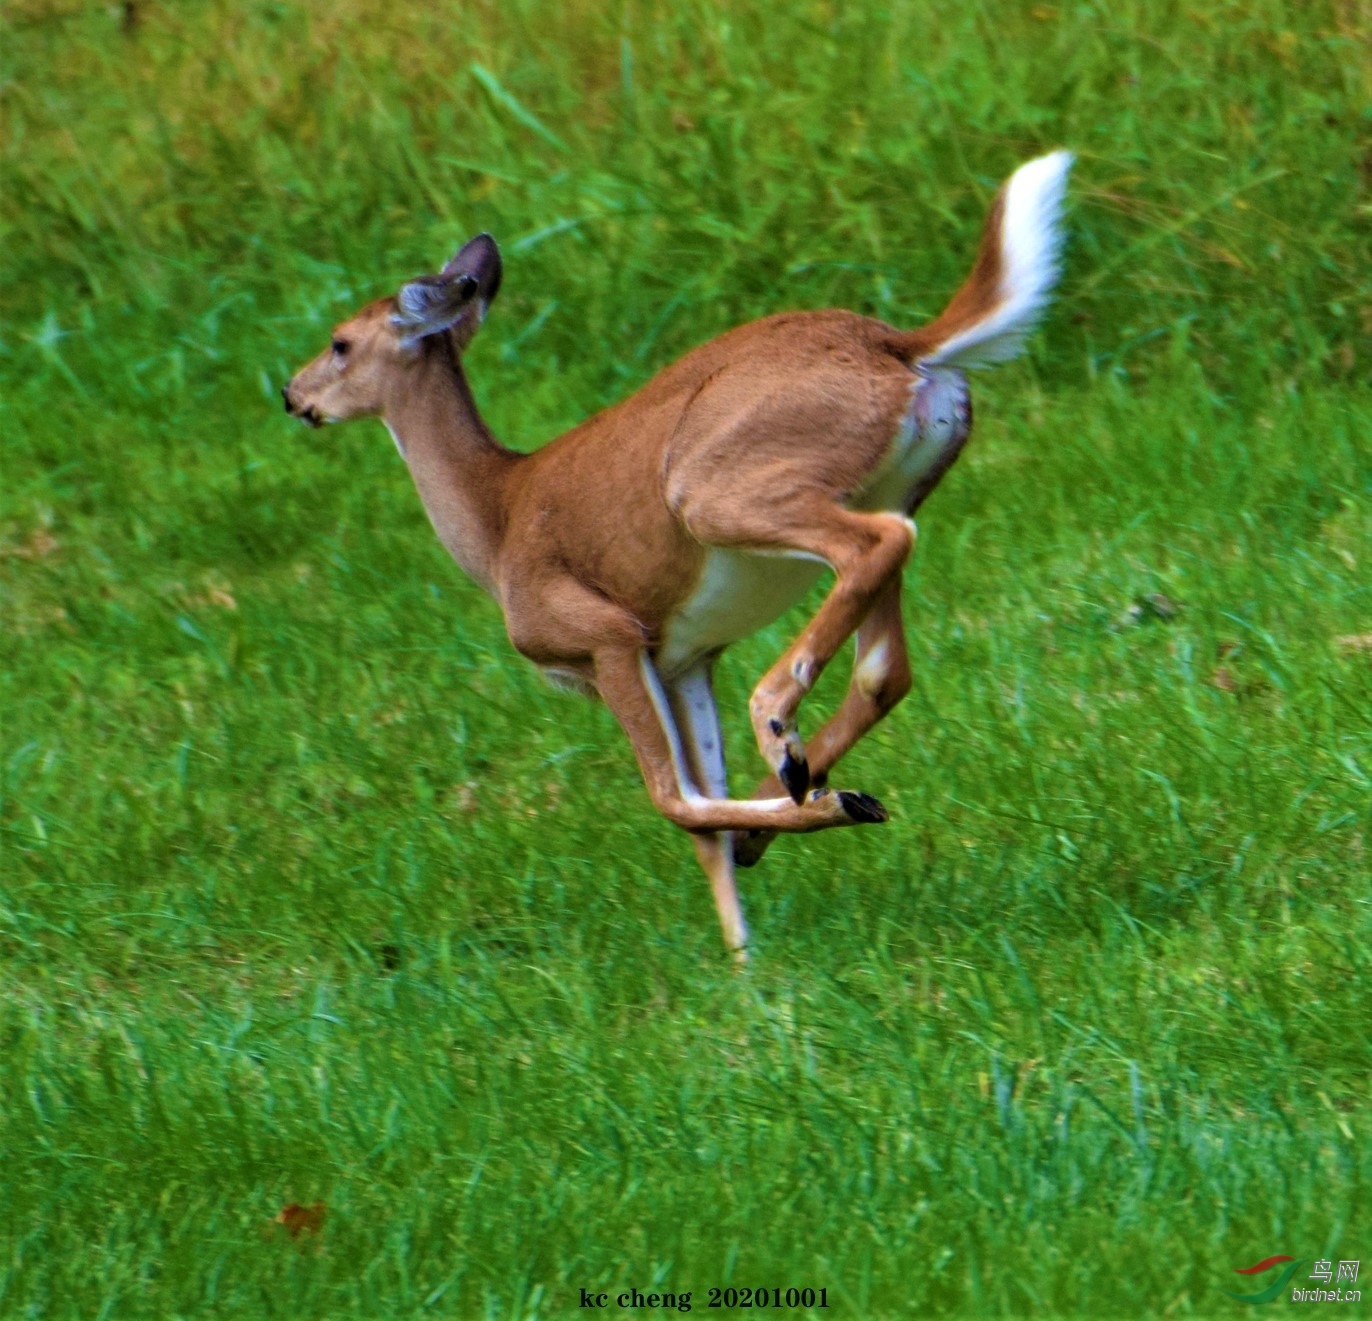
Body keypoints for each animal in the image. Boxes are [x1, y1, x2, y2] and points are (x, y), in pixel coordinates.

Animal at [284, 152, 1075, 960]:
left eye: (340, 342)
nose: (291, 394)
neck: (497, 516)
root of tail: (903, 347)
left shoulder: (604, 634)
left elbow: (673, 798)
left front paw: (824, 822)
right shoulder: (684, 655)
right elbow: (703, 817)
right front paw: (744, 958)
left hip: (713, 489)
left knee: (875, 547)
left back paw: (780, 730)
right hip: (892, 486)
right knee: (886, 661)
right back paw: (799, 780)